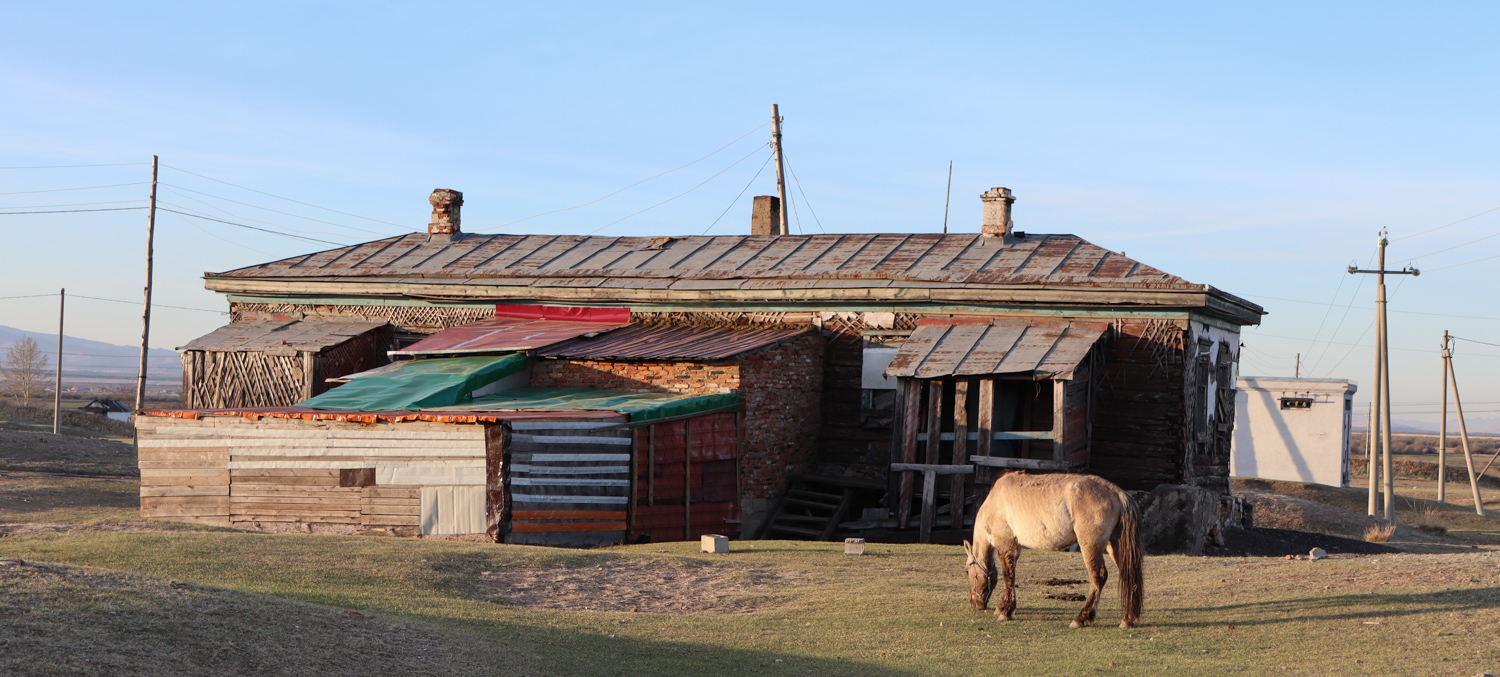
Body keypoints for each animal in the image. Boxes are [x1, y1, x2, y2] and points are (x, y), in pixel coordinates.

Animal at [963, 470, 1143, 628]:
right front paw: (1003, 607)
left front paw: (1005, 611)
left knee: (1098, 576)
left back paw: (1082, 618)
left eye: (967, 571)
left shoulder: (1005, 543)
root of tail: (1118, 493)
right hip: (1114, 546)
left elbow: (1008, 576)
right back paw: (1128, 619)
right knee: (1129, 574)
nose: (974, 604)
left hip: (1090, 545)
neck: (995, 501)